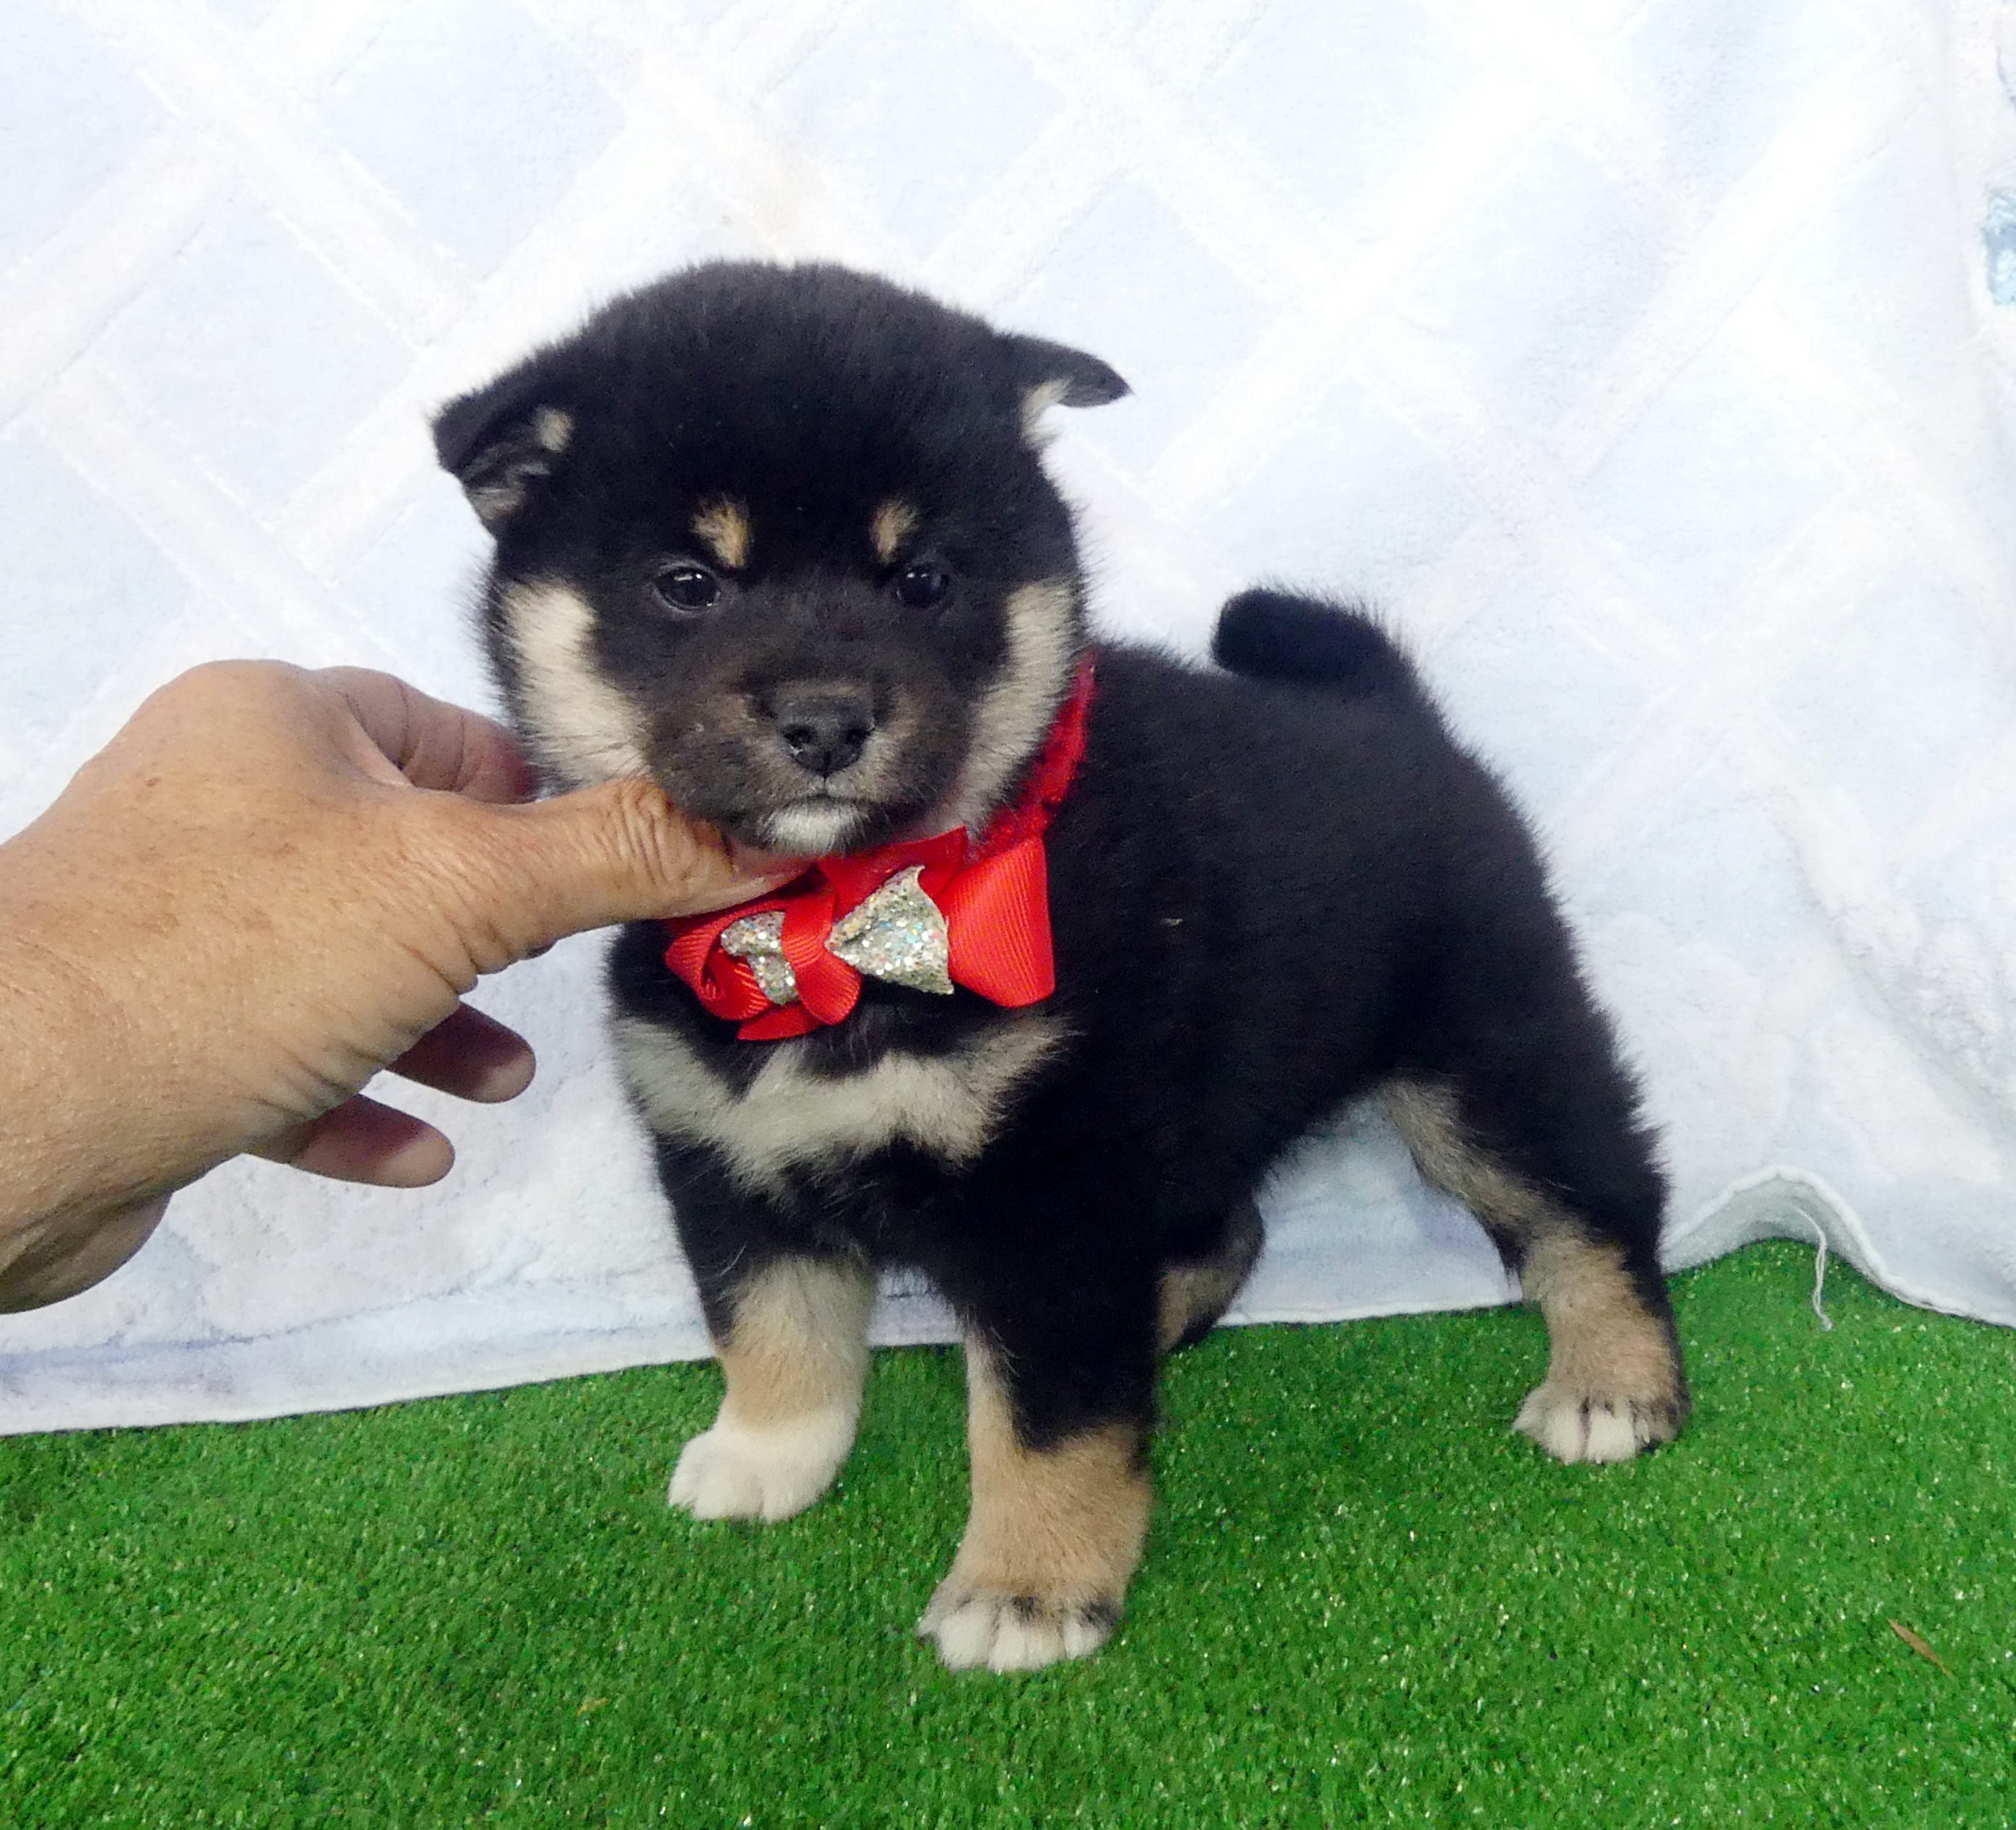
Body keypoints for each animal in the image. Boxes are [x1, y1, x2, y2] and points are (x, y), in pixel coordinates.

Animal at [432, 262, 1687, 1674]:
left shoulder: (1052, 1190)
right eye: (689, 581)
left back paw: (1614, 1382)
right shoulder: (726, 1154)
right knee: (1231, 1225)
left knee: (1592, 1200)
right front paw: (766, 1458)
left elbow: (1043, 1422)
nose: (825, 719)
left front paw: (1028, 1584)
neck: (839, 926)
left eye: (922, 578)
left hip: (1481, 1061)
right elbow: (769, 1326)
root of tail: (1401, 717)